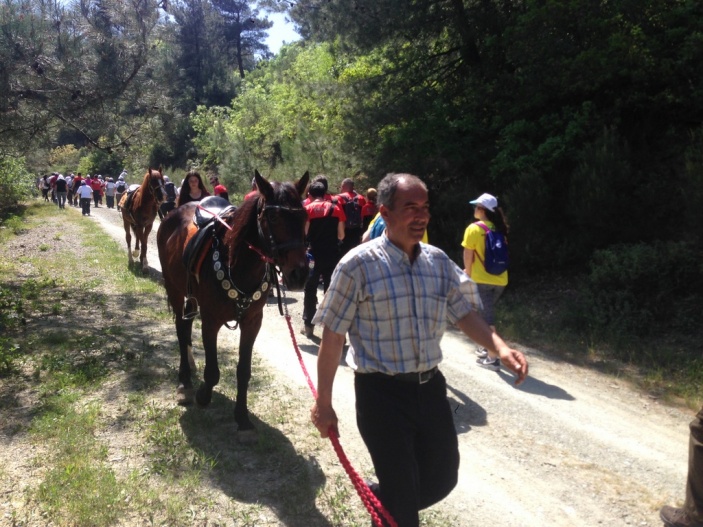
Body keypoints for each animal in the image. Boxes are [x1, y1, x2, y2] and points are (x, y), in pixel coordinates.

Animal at [157, 170, 310, 442]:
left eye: (303, 216)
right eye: (272, 216)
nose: (299, 274)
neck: (237, 263)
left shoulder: (252, 323)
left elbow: (244, 371)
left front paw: (242, 419)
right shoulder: (210, 321)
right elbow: (213, 372)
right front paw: (203, 395)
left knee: (185, 326)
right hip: (175, 290)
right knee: (181, 329)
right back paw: (185, 382)